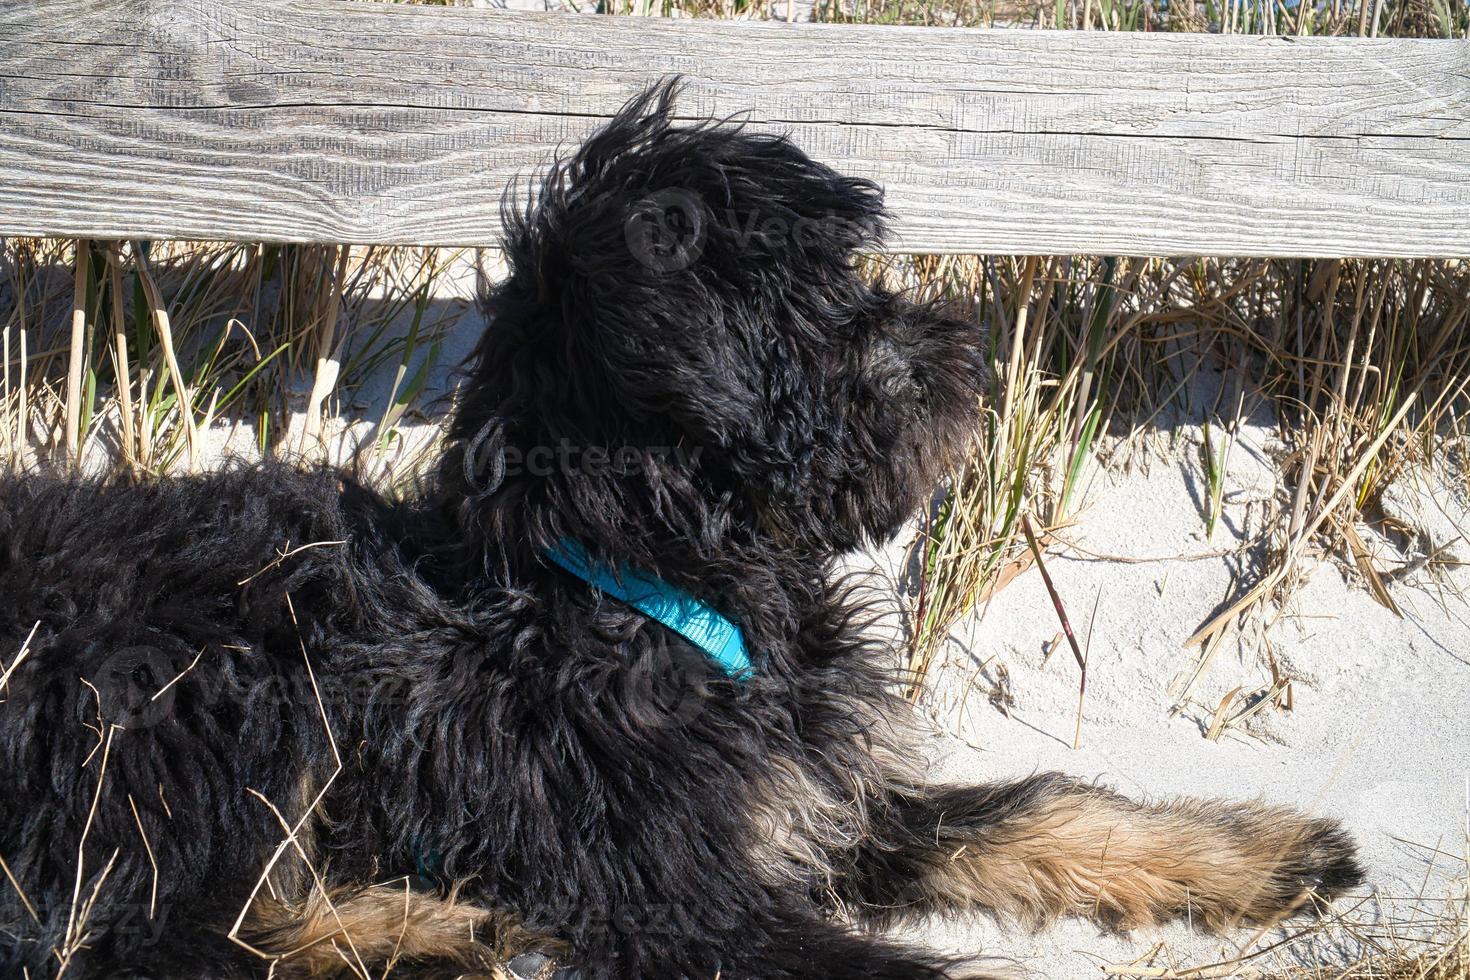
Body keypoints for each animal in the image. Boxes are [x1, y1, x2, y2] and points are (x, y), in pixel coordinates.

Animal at [0, 84, 1358, 980]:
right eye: (790, 309)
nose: (948, 351)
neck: (639, 589)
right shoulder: (681, 897)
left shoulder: (816, 802)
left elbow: (1037, 806)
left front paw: (1262, 848)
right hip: (197, 676)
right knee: (157, 936)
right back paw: (446, 932)